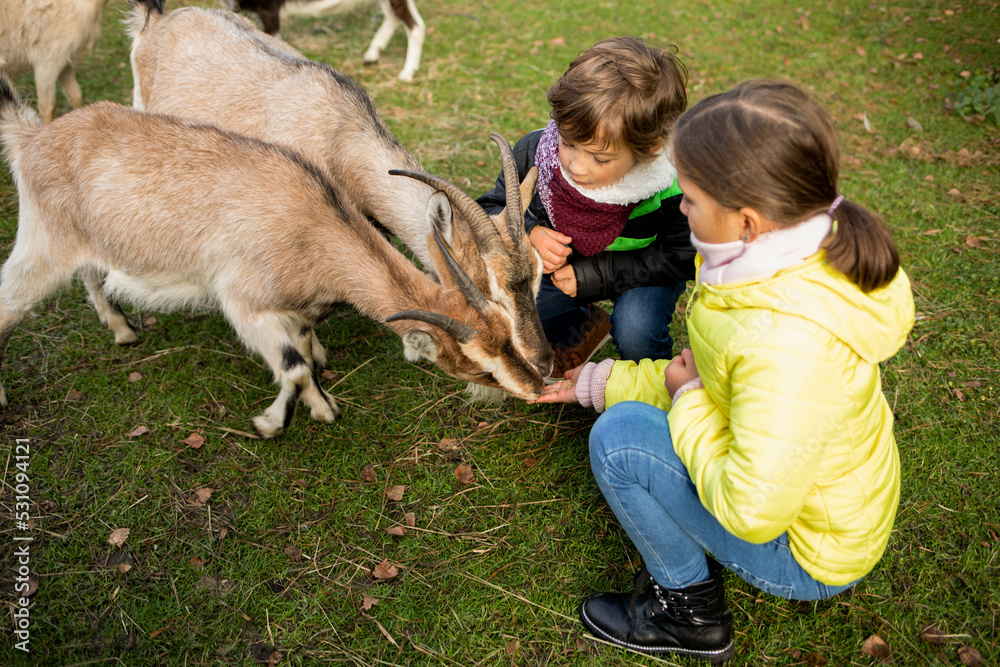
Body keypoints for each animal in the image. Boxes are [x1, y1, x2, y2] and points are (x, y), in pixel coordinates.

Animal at [0, 74, 548, 438]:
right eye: (476, 366)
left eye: (507, 333)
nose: (537, 382)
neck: (314, 224)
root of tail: (35, 137)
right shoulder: (242, 302)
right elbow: (293, 364)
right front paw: (271, 422)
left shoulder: (294, 307)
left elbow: (303, 347)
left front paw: (322, 407)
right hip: (42, 246)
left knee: (94, 277)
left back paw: (122, 331)